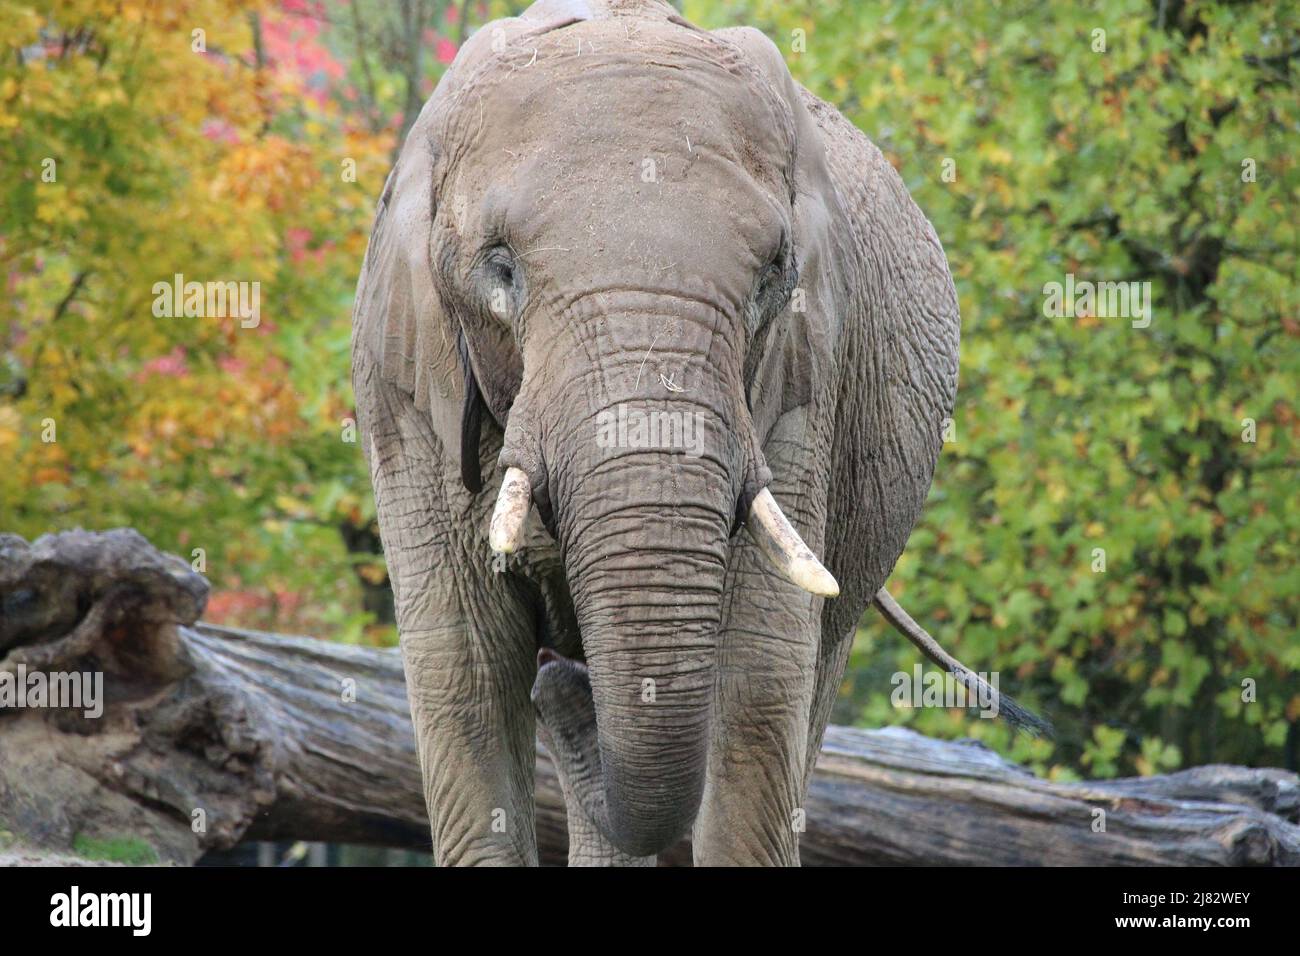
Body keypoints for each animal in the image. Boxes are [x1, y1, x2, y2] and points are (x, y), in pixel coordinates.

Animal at [351, 0, 1044, 866]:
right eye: (500, 267)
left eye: (773, 275)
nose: (561, 679)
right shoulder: (406, 388)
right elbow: (464, 677)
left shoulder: (805, 370)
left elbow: (757, 675)